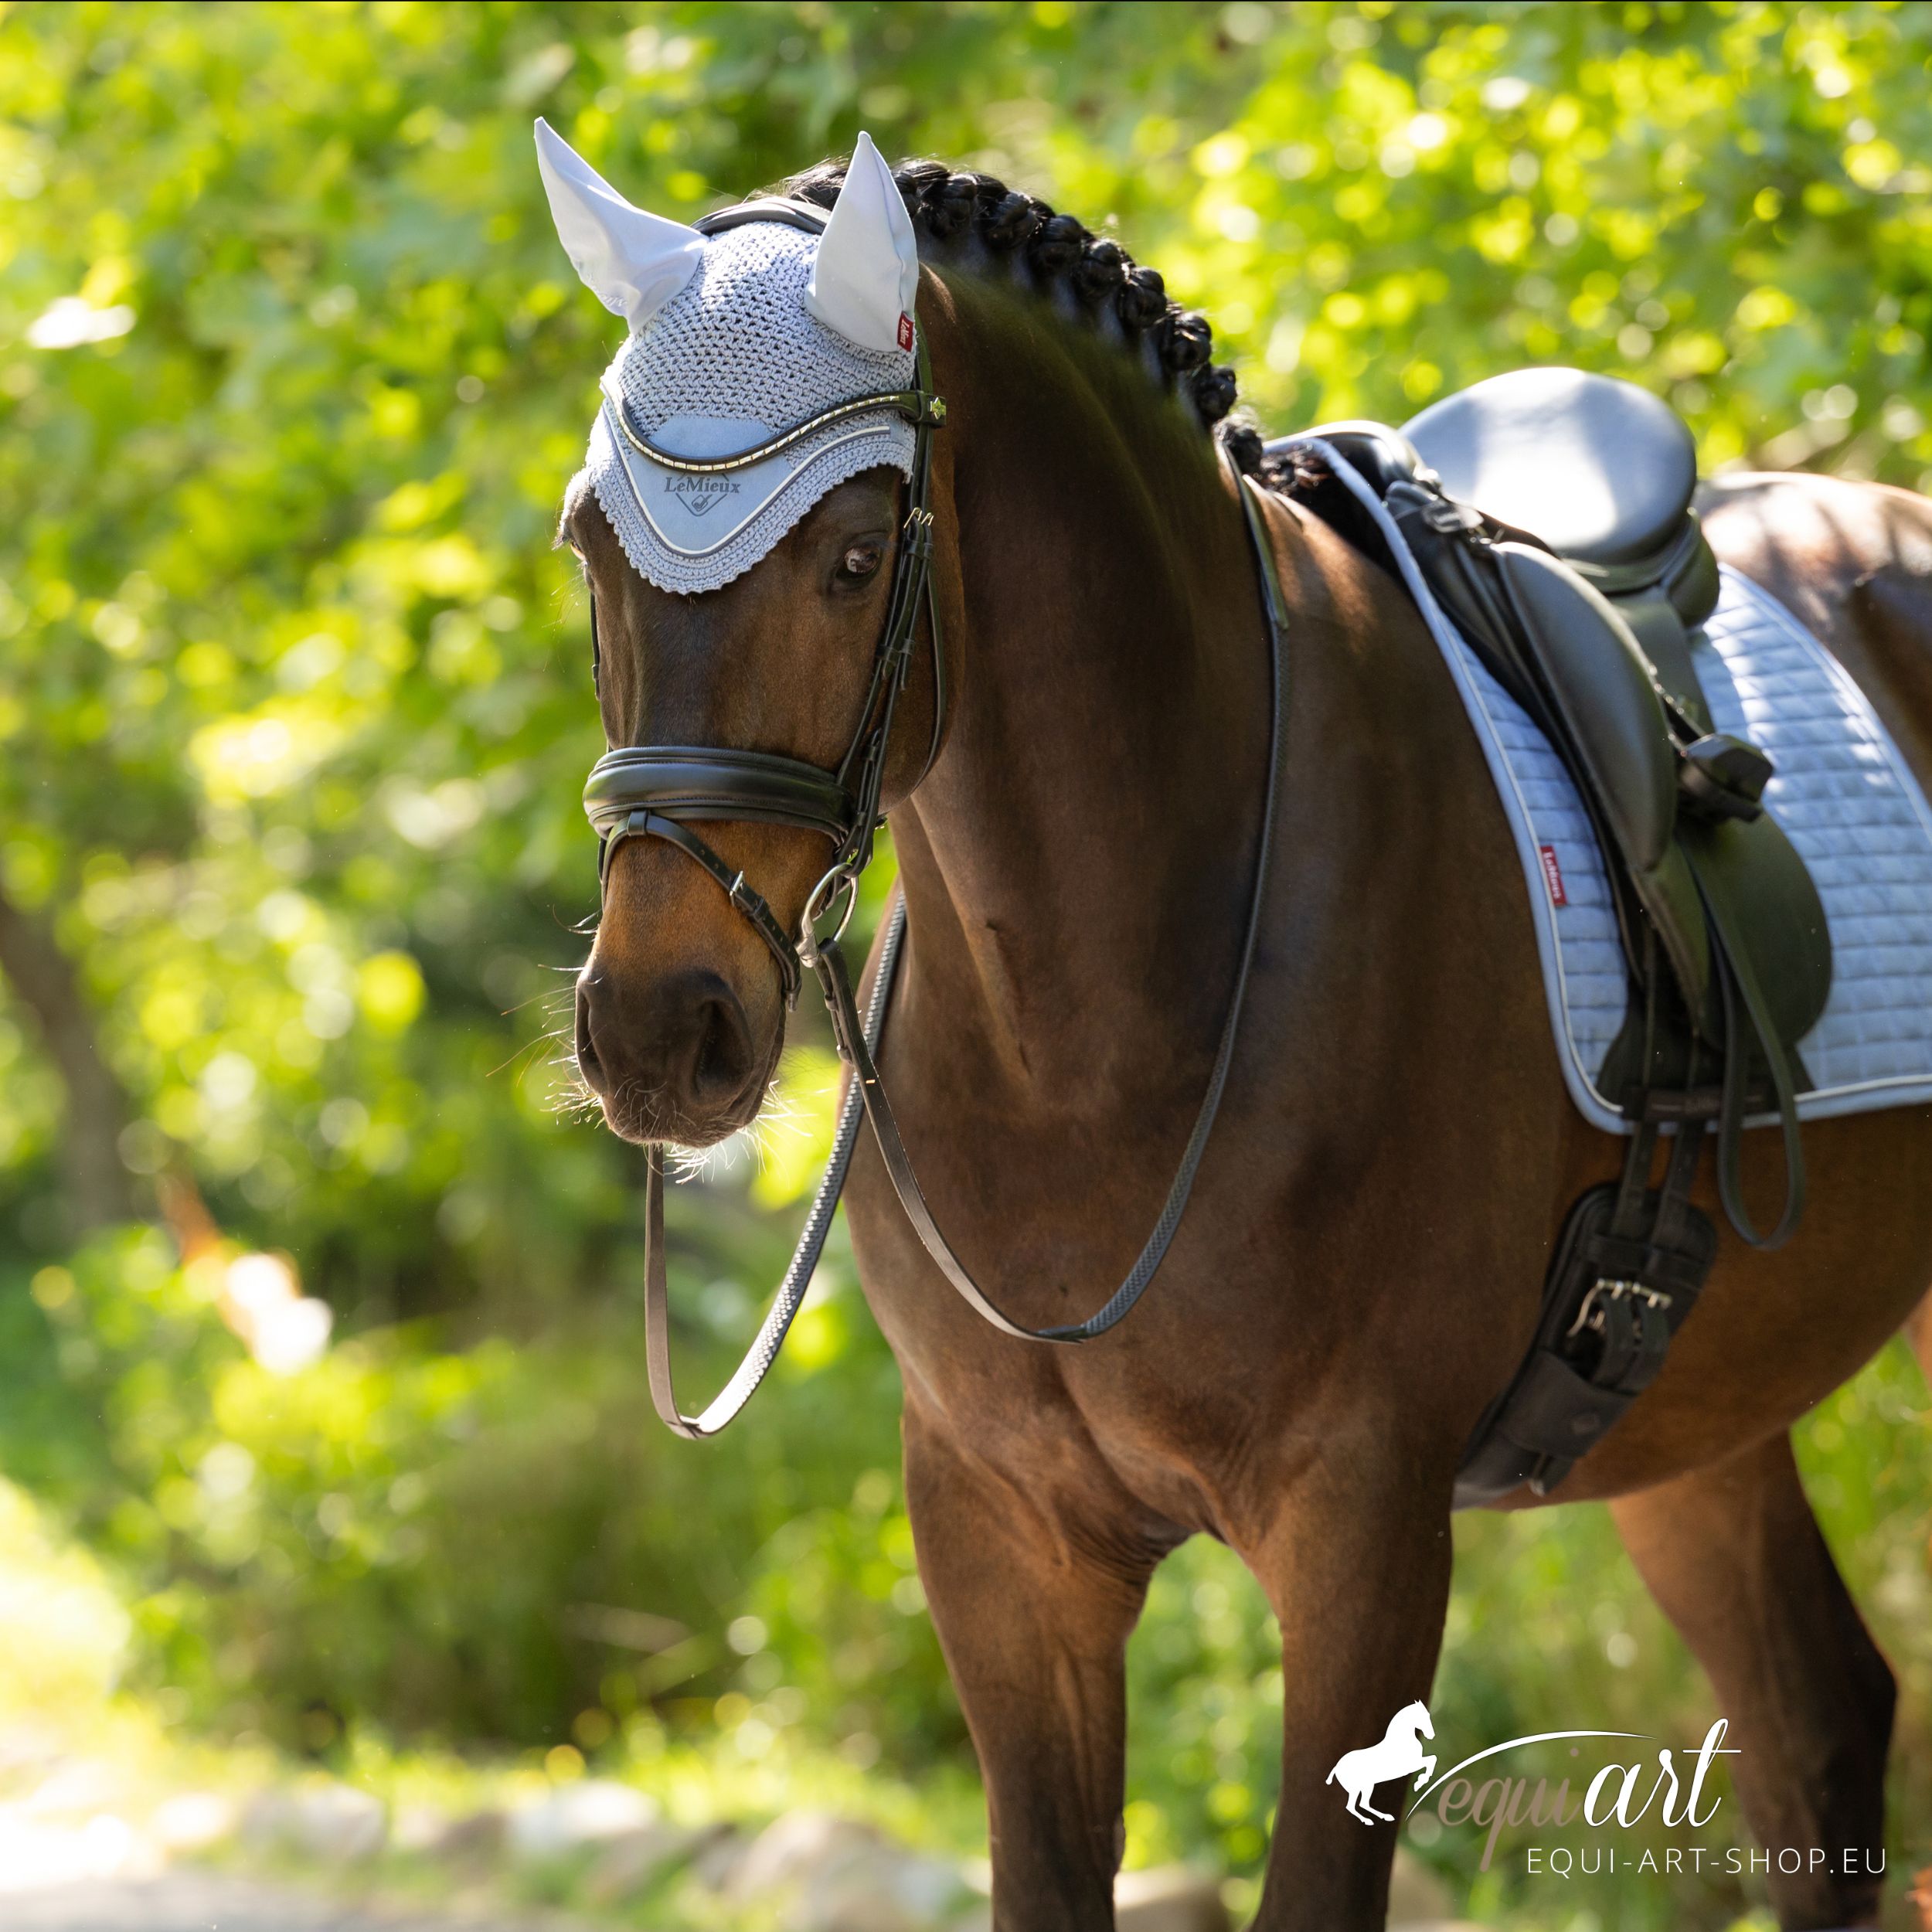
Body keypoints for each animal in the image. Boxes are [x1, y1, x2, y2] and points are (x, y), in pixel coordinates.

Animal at [1327, 1701, 1436, 1827]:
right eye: (1424, 1716)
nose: (1432, 1736)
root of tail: (1336, 1767)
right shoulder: (1411, 1766)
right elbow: (1432, 1760)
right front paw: (1419, 1783)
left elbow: (1432, 1759)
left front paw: (1420, 1782)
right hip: (1359, 1787)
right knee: (1352, 1806)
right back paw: (1369, 1820)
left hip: (1366, 1786)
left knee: (1363, 1804)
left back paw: (1385, 1817)